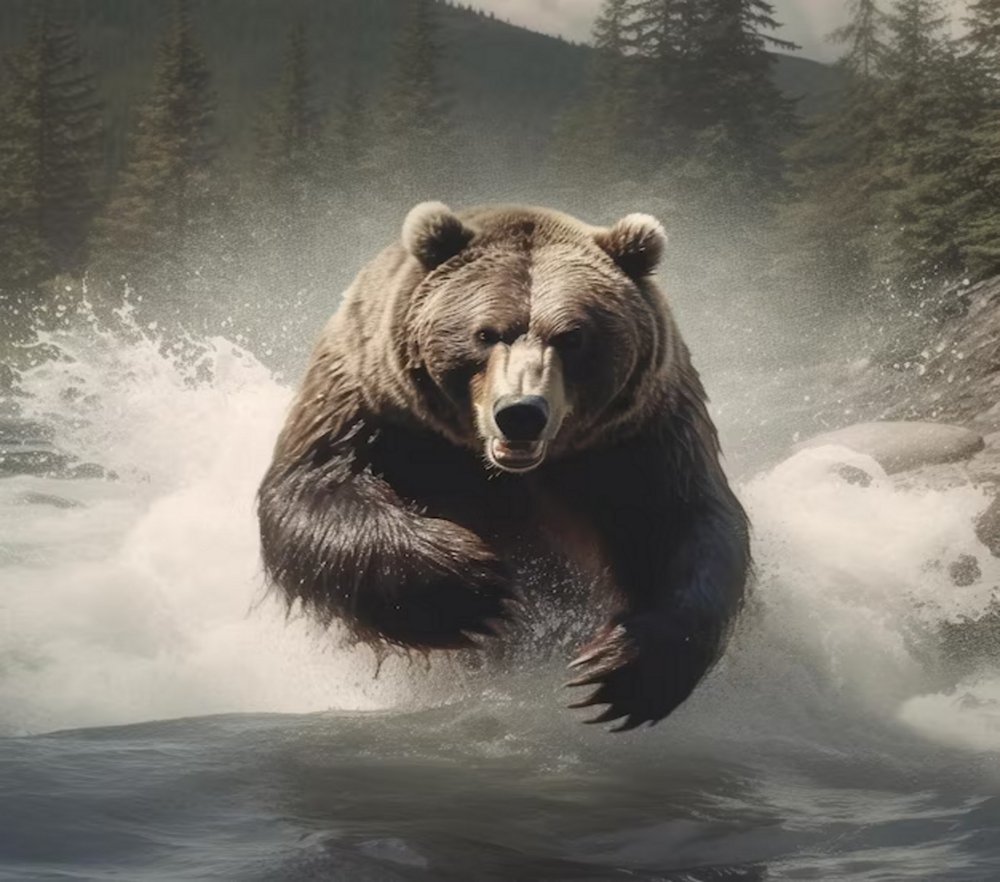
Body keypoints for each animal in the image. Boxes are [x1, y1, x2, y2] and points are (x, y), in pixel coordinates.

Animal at [257, 202, 751, 731]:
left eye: (573, 336)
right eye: (485, 333)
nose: (520, 412)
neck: (507, 469)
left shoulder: (639, 437)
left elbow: (687, 521)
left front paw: (617, 670)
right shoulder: (373, 407)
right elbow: (315, 488)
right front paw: (478, 587)